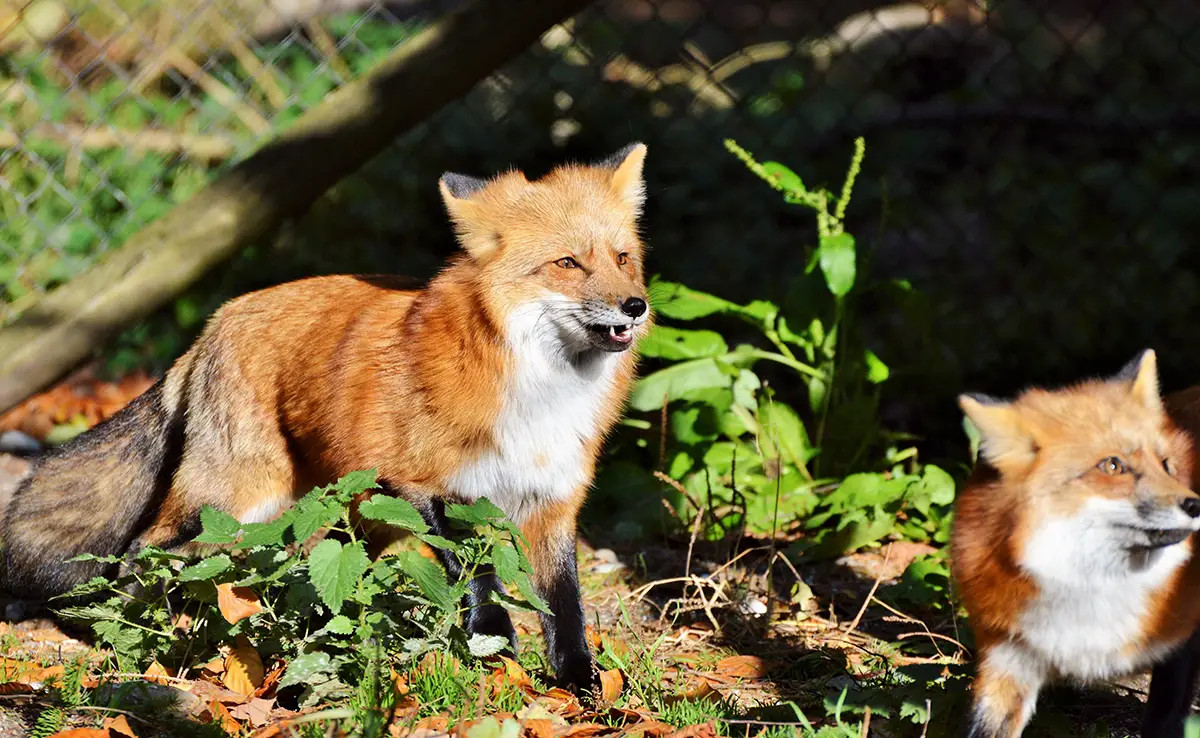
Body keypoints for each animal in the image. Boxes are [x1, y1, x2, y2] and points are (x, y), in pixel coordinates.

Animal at [2, 142, 657, 691]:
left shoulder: (552, 503)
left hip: (347, 512)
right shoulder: (428, 488)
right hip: (236, 499)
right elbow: (479, 584)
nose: (636, 305)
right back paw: (153, 638)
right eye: (567, 263)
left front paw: (581, 686)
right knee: (147, 549)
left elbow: (565, 609)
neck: (539, 393)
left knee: (301, 571)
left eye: (623, 257)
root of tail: (215, 320)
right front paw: (495, 657)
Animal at [955, 350, 1200, 738]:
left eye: (1166, 465)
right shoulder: (1009, 655)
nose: (1195, 505)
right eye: (1112, 466)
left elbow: (1165, 718)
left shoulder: (1184, 642)